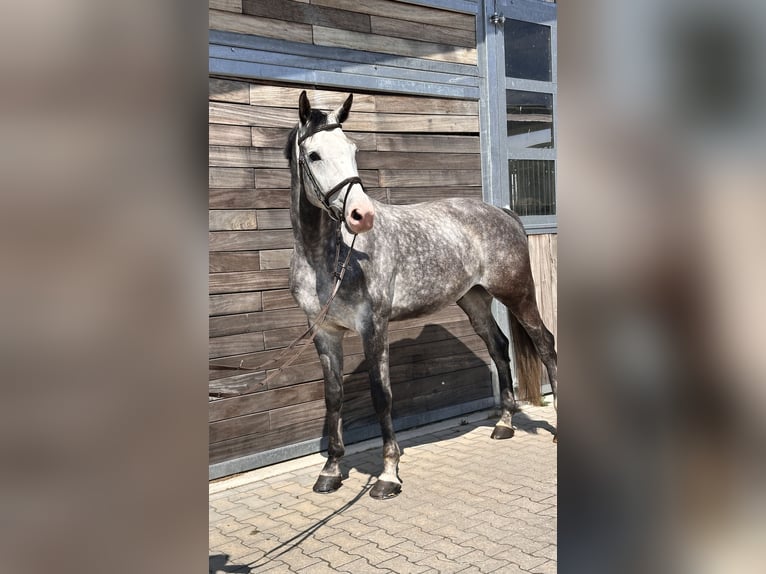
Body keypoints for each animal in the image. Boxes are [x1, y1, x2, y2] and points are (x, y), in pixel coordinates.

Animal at [285, 91, 557, 499]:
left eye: (352, 149)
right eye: (314, 155)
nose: (361, 214)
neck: (328, 256)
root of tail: (502, 211)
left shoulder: (373, 326)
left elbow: (382, 396)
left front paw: (388, 475)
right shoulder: (324, 332)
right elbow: (333, 398)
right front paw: (331, 470)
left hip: (517, 293)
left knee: (545, 343)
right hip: (473, 299)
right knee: (498, 345)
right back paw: (504, 424)